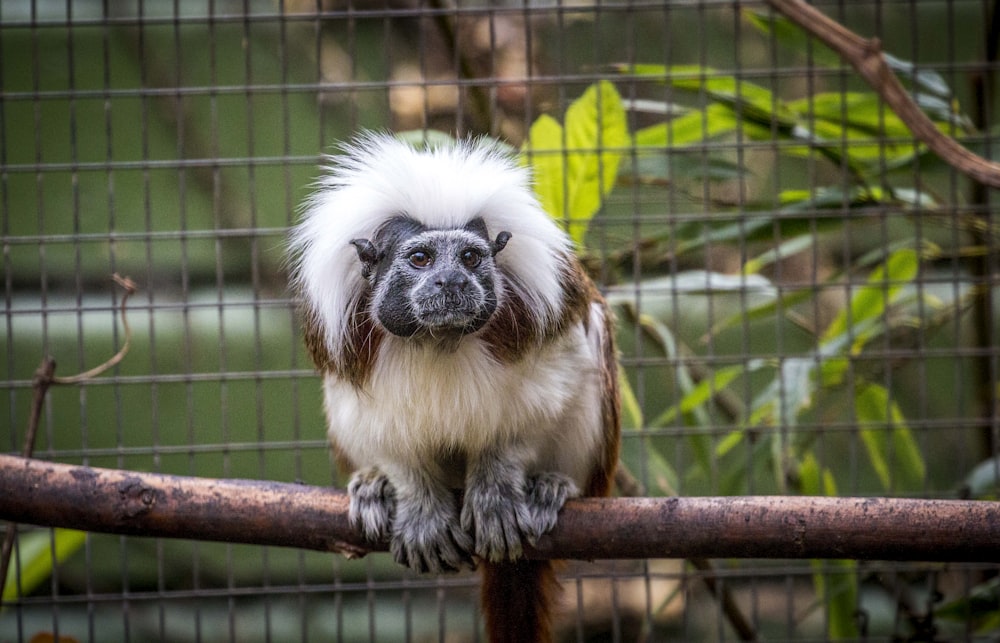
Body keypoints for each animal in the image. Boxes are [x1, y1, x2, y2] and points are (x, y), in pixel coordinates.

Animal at [286, 133, 620, 640]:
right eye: (421, 259)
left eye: (469, 257)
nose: (452, 281)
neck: (437, 339)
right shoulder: (345, 349)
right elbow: (381, 431)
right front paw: (417, 501)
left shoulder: (543, 318)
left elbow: (537, 404)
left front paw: (496, 489)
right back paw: (374, 486)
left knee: (594, 331)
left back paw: (552, 486)